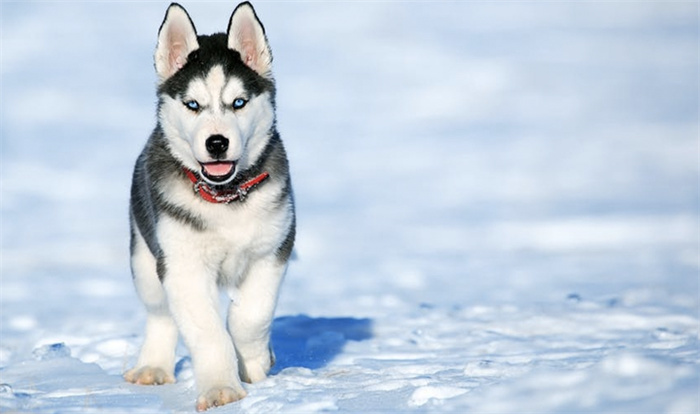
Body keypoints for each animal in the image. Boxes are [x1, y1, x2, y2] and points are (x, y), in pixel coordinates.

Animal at [126, 2, 296, 410]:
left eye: (238, 103)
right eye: (193, 105)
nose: (216, 142)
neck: (225, 198)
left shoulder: (272, 250)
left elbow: (251, 316)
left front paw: (254, 362)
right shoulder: (182, 265)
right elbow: (207, 330)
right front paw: (221, 387)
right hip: (145, 258)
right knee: (160, 314)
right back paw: (152, 366)